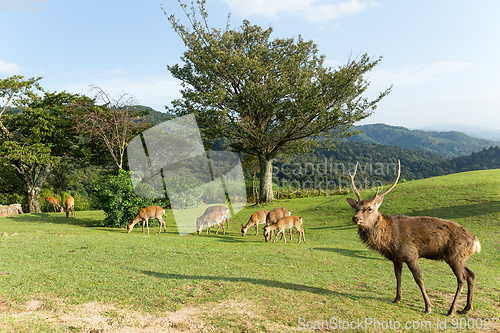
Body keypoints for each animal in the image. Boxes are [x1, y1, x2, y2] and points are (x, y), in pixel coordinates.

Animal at [348, 160, 480, 316]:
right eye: (356, 207)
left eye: (369, 209)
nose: (355, 218)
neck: (389, 239)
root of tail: (475, 242)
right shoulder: (396, 258)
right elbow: (397, 276)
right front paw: (397, 298)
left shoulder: (411, 254)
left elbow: (419, 279)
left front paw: (428, 307)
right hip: (460, 257)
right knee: (471, 274)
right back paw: (466, 308)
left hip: (455, 256)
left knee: (462, 278)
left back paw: (451, 310)